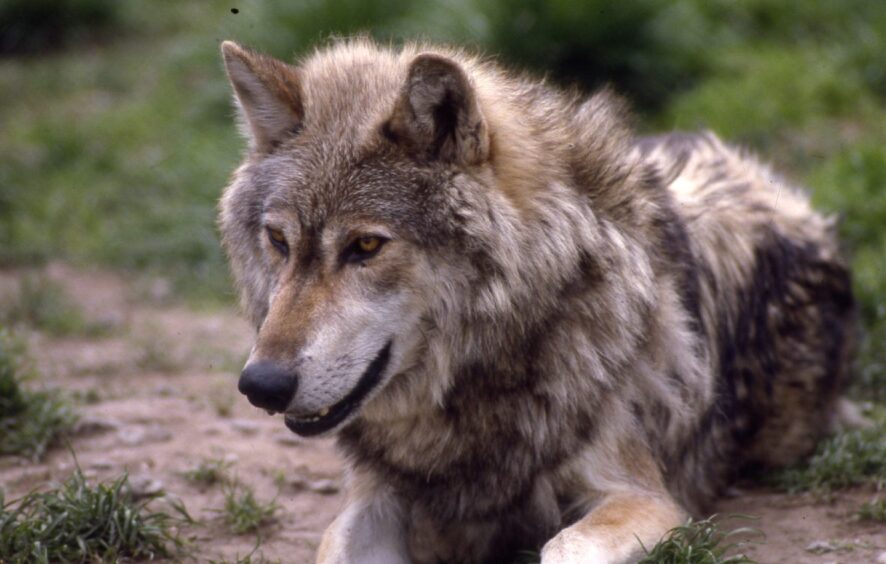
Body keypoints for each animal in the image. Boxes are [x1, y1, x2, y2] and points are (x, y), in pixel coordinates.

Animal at [217, 38, 857, 563]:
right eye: (279, 241)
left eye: (366, 245)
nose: (261, 385)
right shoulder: (380, 493)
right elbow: (334, 546)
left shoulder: (649, 498)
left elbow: (564, 546)